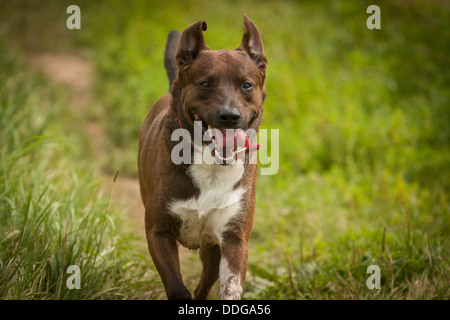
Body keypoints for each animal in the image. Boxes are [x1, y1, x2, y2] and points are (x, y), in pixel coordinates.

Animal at [138, 15, 268, 300]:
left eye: (247, 85)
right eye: (205, 83)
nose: (229, 116)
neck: (211, 165)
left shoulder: (233, 238)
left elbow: (230, 287)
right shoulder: (158, 232)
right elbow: (176, 286)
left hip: (212, 251)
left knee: (204, 283)